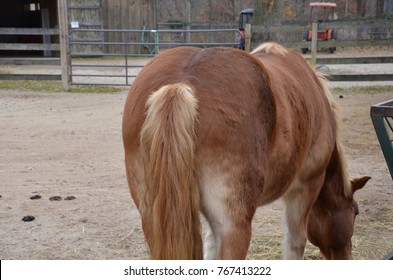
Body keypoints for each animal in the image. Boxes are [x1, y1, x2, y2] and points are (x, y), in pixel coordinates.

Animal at [121, 42, 370, 260]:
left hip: (152, 220)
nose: (347, 256)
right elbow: (295, 243)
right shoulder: (307, 187)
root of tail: (181, 84)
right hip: (234, 227)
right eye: (355, 211)